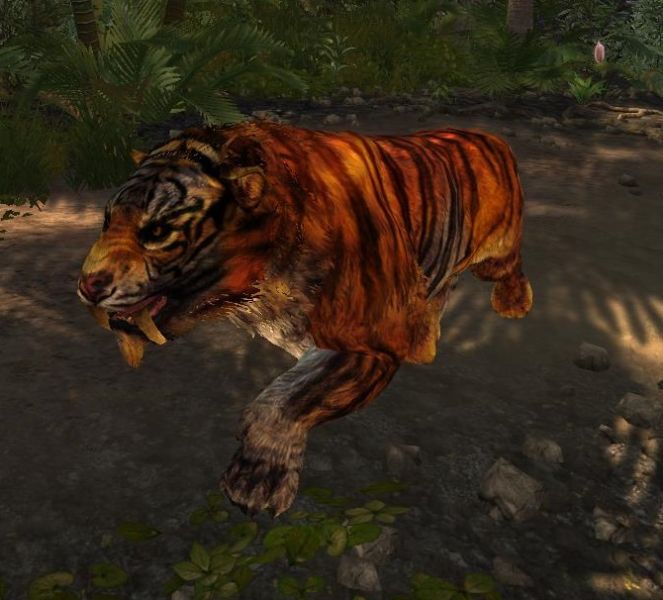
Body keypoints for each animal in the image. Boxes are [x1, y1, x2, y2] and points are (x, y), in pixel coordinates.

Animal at [78, 120, 533, 517]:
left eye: (157, 231)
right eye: (107, 220)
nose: (87, 286)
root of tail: (487, 134)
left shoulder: (368, 341)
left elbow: (289, 398)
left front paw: (256, 480)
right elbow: (292, 381)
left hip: (497, 255)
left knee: (510, 269)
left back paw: (514, 304)